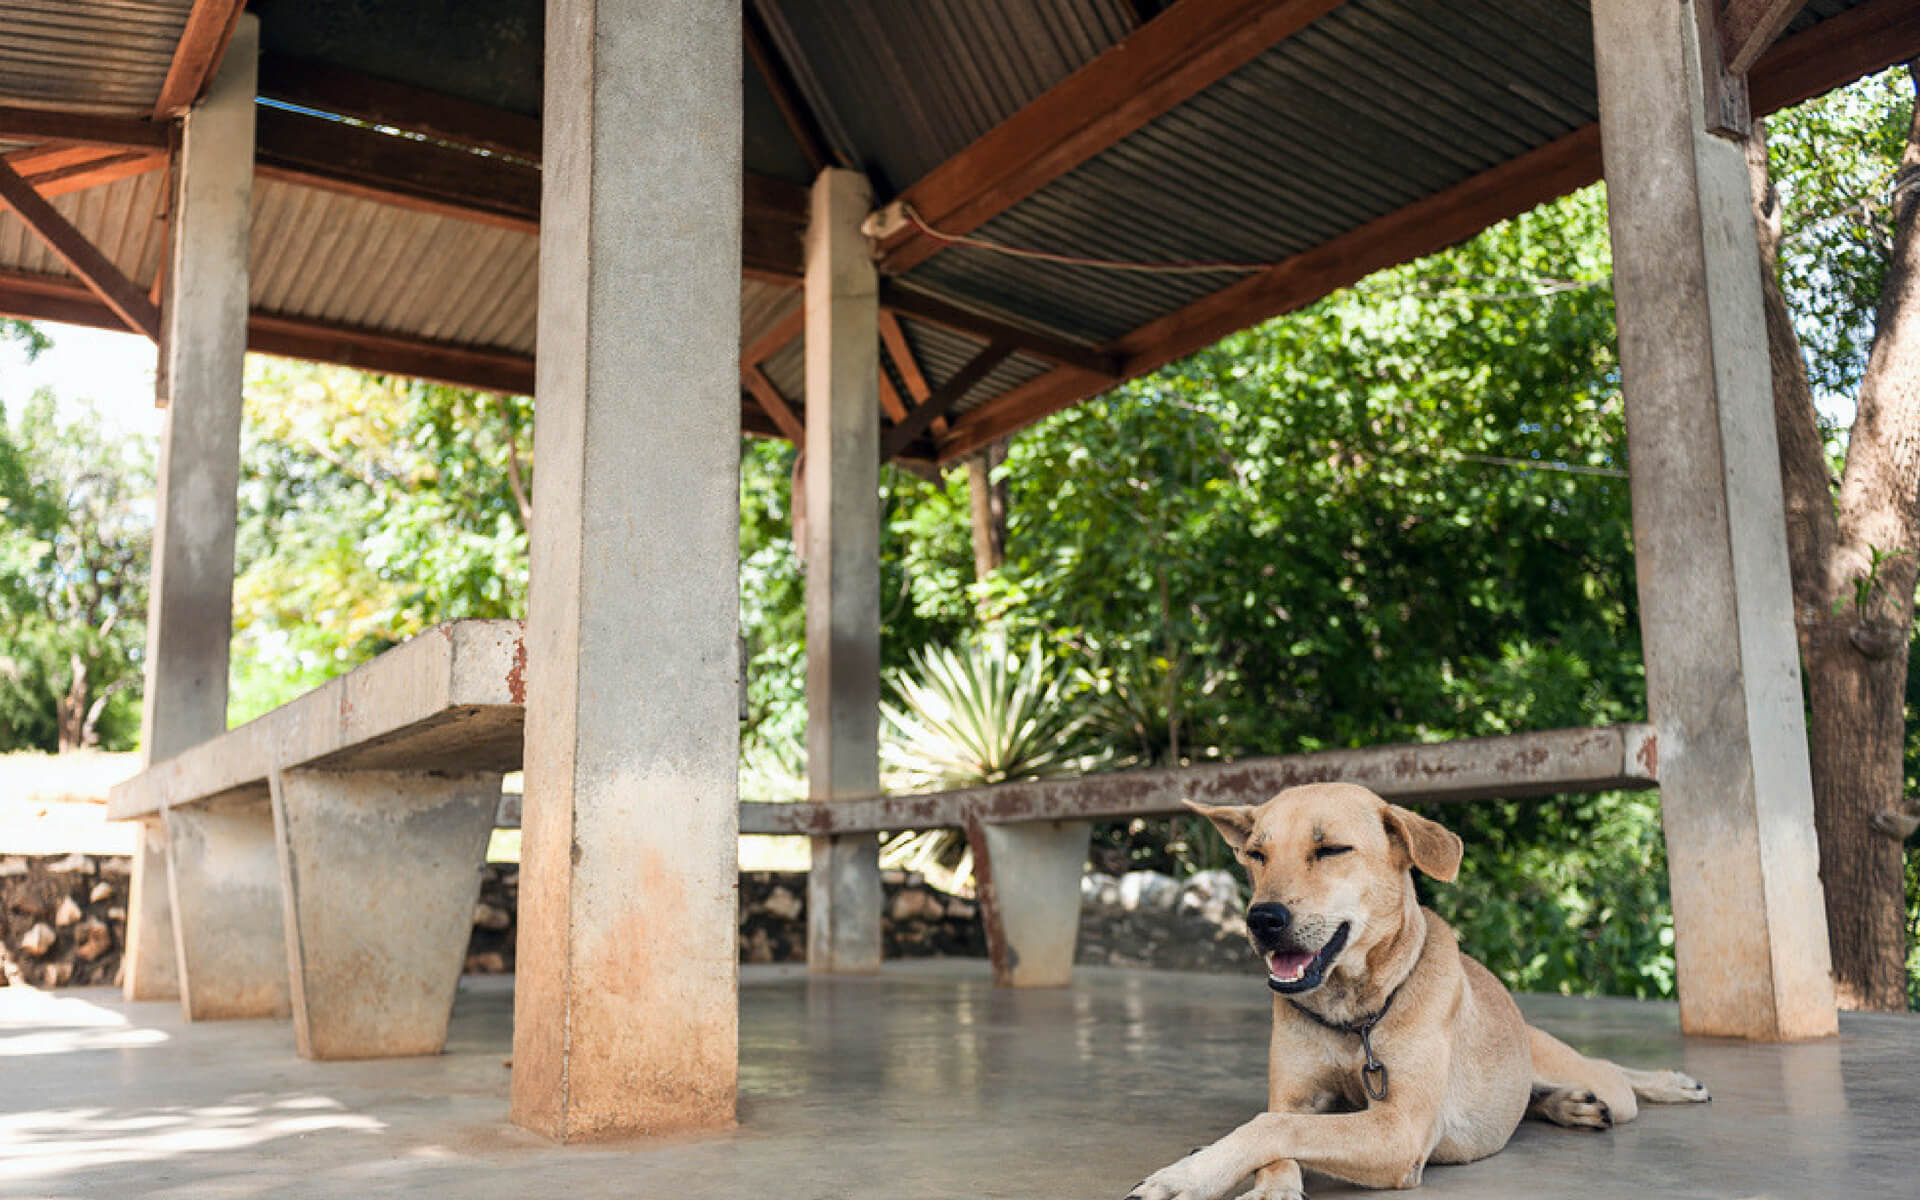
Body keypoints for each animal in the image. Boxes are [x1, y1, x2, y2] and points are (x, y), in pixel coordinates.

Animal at [1121, 783, 1712, 1198]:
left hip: (1583, 1073)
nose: (1261, 919)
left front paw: (1185, 1175)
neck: (1355, 1017)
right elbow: (1278, 1128)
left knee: (1613, 1073)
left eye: (1331, 850)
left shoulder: (1398, 1129)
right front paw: (1268, 1186)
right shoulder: (1295, 1096)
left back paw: (1670, 1082)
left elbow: (1269, 1127)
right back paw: (1569, 1105)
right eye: (1255, 856)